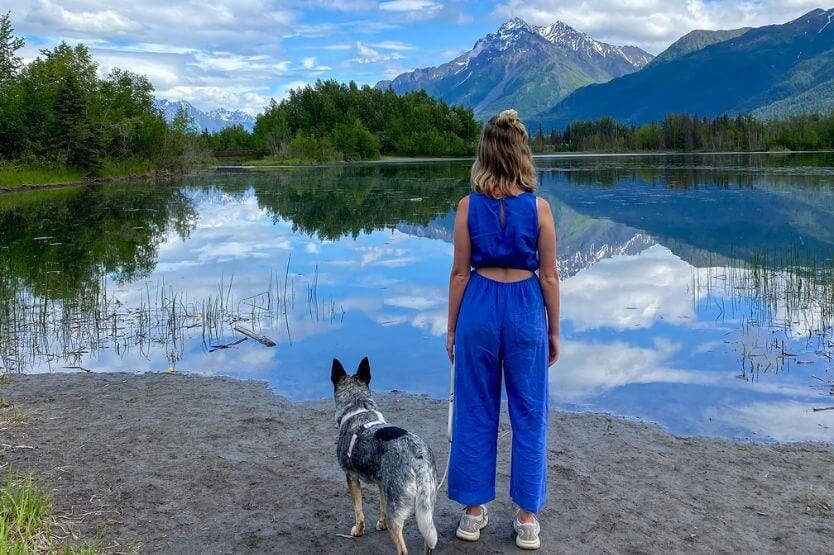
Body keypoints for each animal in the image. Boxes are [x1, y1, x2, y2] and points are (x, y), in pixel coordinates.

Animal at [330, 358, 438, 552]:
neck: (358, 408)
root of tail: (419, 462)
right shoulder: (382, 483)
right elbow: (381, 506)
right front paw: (381, 524)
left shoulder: (351, 477)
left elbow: (358, 510)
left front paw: (358, 531)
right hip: (425, 510)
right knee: (428, 541)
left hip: (398, 511)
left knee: (402, 548)